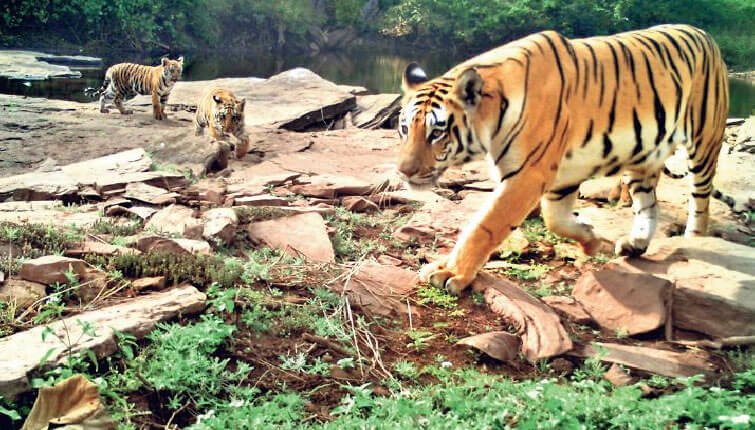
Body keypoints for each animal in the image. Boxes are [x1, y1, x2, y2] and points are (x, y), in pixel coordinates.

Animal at [398, 24, 728, 296]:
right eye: (404, 128)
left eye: (437, 132)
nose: (403, 172)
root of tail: (705, 34)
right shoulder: (562, 175)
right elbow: (555, 219)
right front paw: (590, 239)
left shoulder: (528, 175)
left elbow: (485, 226)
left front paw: (450, 273)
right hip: (643, 157)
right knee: (649, 204)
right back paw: (635, 244)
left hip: (704, 143)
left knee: (700, 201)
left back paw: (694, 241)